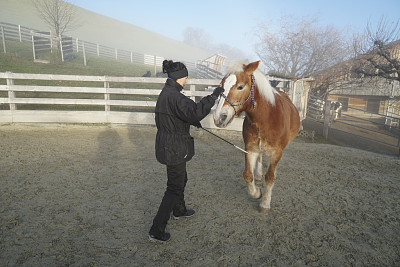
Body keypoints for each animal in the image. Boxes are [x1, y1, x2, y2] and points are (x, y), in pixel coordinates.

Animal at [212, 60, 300, 214]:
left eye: (240, 87)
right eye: (221, 85)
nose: (218, 118)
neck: (266, 117)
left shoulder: (276, 152)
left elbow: (270, 177)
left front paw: (265, 204)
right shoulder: (251, 148)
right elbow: (247, 175)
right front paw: (257, 193)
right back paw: (258, 176)